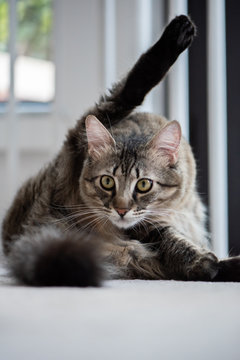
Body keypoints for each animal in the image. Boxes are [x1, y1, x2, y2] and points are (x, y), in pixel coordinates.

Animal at [1, 14, 240, 286]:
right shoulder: (146, 225)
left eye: (144, 184)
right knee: (128, 93)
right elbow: (171, 239)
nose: (121, 209)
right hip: (81, 137)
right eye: (107, 182)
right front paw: (202, 261)